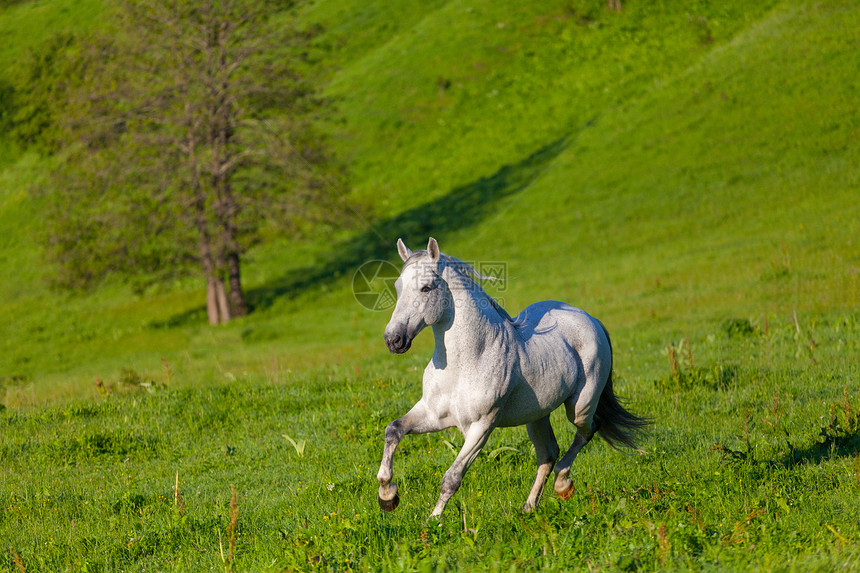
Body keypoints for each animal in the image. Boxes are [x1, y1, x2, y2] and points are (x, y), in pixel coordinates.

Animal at [376, 238, 644, 520]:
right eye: (397, 287)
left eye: (426, 287)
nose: (393, 340)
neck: (466, 362)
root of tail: (590, 319)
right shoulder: (433, 414)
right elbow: (393, 429)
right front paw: (388, 496)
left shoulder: (482, 427)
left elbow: (451, 478)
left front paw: (433, 521)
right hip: (537, 416)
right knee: (548, 453)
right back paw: (529, 507)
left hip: (579, 407)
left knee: (588, 430)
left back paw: (563, 485)